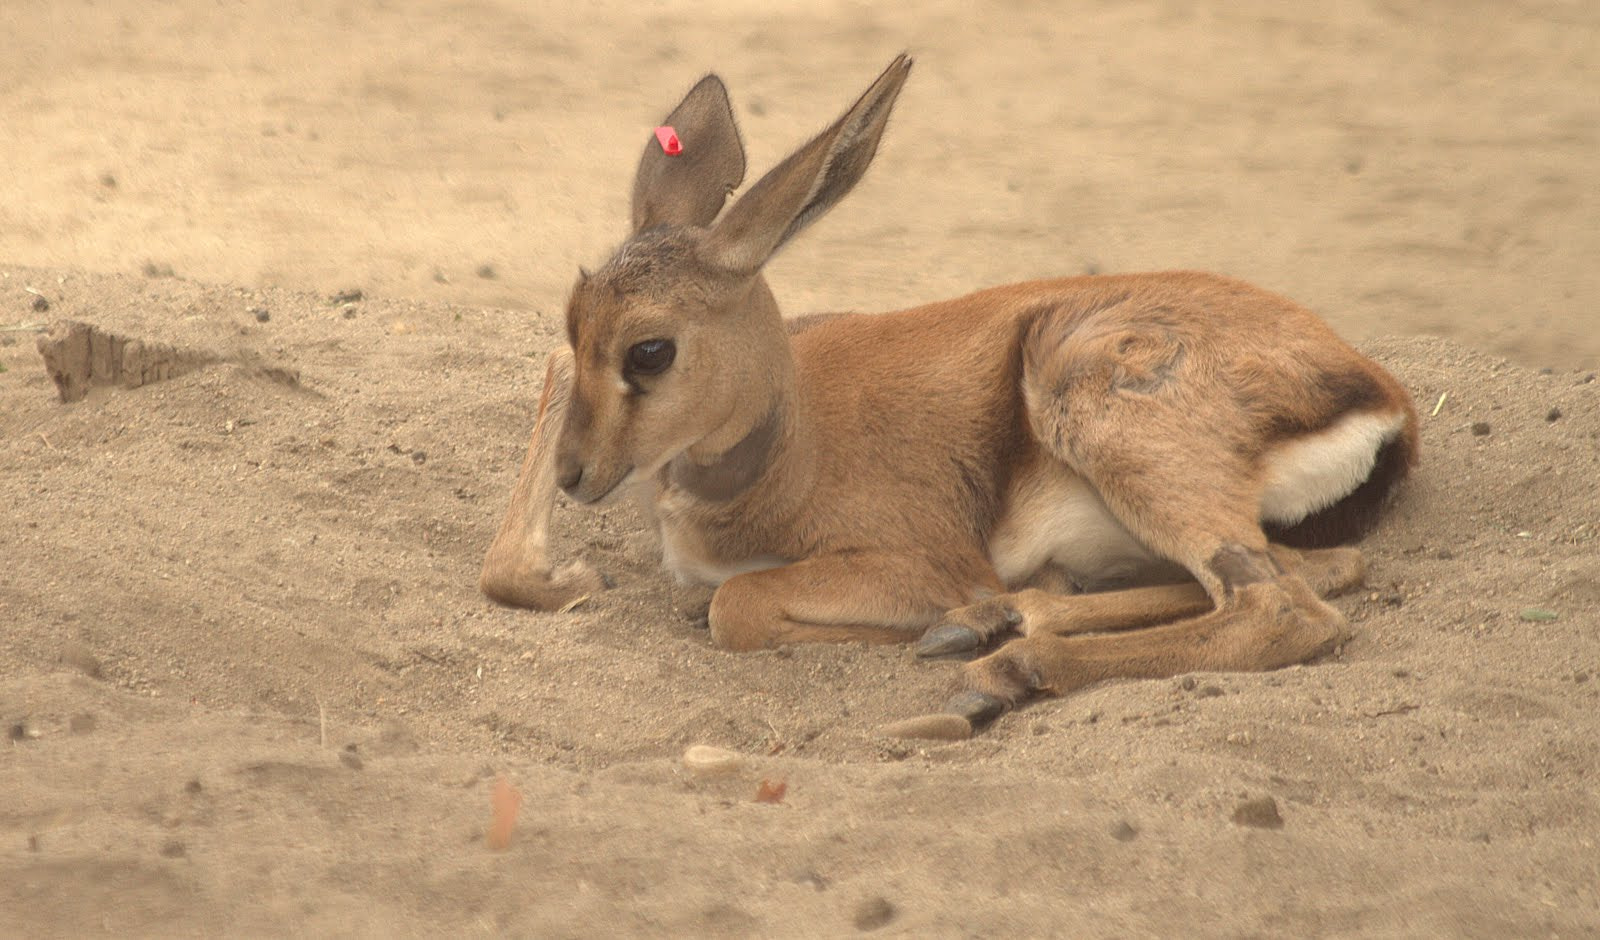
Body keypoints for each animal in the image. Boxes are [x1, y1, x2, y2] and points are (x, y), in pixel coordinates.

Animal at [479, 55, 1418, 730]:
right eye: (573, 321)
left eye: (651, 349)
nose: (576, 474)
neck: (789, 448)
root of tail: (1382, 398)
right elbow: (508, 571)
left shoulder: (921, 560)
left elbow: (733, 605)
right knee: (1320, 568)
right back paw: (997, 624)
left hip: (1102, 421)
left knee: (1286, 605)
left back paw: (996, 662)